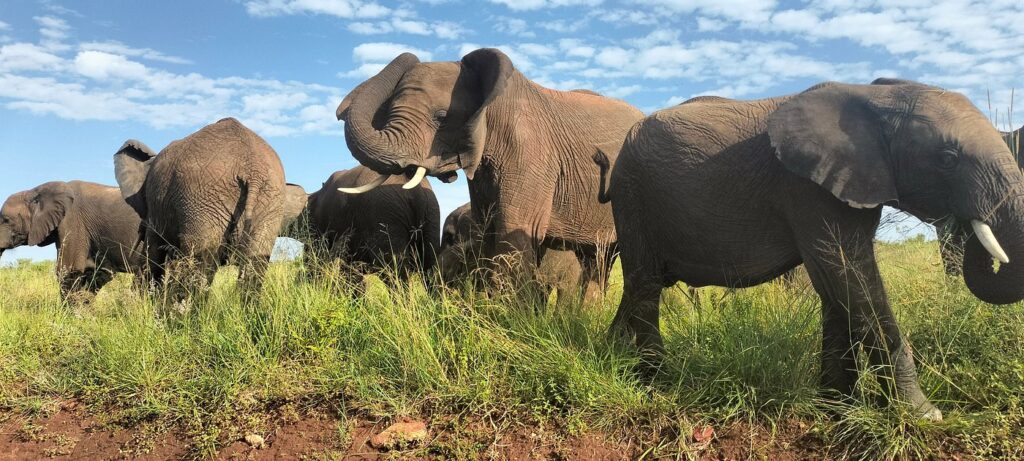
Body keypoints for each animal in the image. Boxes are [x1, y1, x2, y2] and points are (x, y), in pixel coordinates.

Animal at [113, 117, 302, 303]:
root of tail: (253, 168)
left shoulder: (156, 209)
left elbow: (153, 254)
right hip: (268, 198)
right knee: (254, 262)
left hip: (202, 196)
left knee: (201, 261)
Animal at [594, 79, 1024, 421]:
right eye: (948, 159)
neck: (876, 98)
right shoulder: (806, 189)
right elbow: (846, 272)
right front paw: (922, 415)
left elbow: (838, 287)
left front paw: (838, 407)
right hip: (635, 196)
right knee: (646, 284)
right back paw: (656, 380)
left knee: (639, 286)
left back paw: (613, 356)